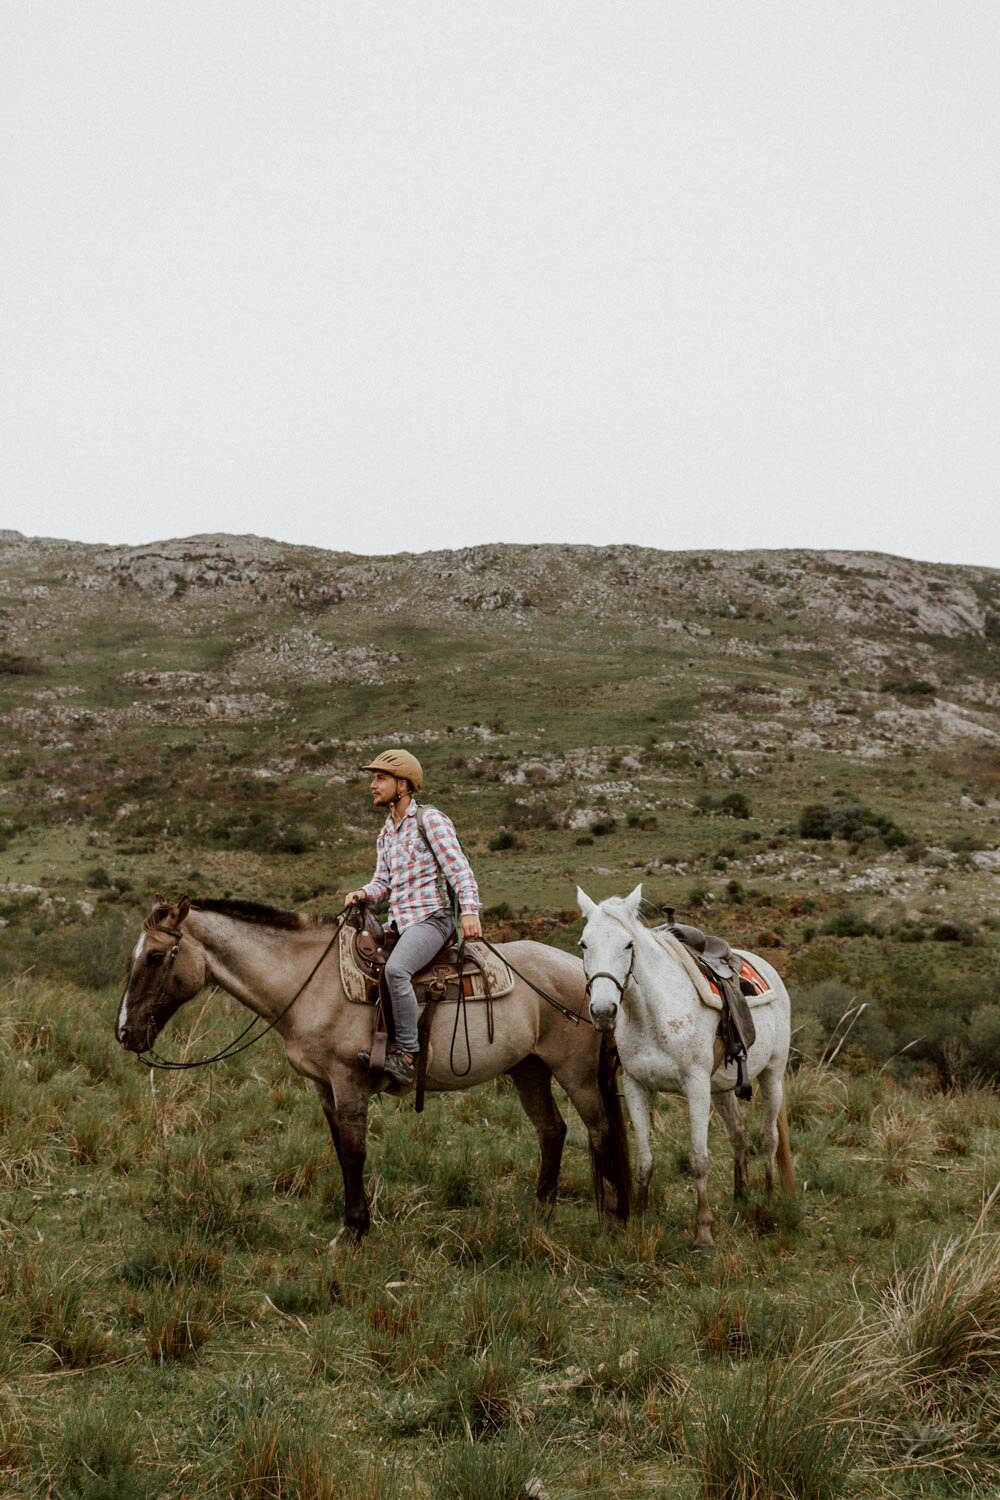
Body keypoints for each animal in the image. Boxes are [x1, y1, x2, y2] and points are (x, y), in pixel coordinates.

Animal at [117, 900, 629, 1242]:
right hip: (528, 1069)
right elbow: (341, 1150)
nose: (125, 1032)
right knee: (552, 1130)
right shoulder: (323, 1085)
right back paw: (540, 1214)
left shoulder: (348, 1081)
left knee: (600, 1130)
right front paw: (354, 1223)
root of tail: (587, 976)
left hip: (577, 1073)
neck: (310, 981)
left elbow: (353, 1152)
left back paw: (612, 1219)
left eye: (156, 957)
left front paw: (353, 1231)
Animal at [575, 882, 791, 1248]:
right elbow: (644, 1160)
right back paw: (741, 1196)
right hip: (722, 1087)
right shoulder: (636, 1086)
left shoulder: (696, 1085)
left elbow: (699, 1159)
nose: (603, 1011)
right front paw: (642, 1221)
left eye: (628, 944)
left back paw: (768, 1201)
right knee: (738, 1132)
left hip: (771, 1075)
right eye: (584, 943)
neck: (651, 1013)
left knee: (768, 1138)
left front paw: (703, 1233)